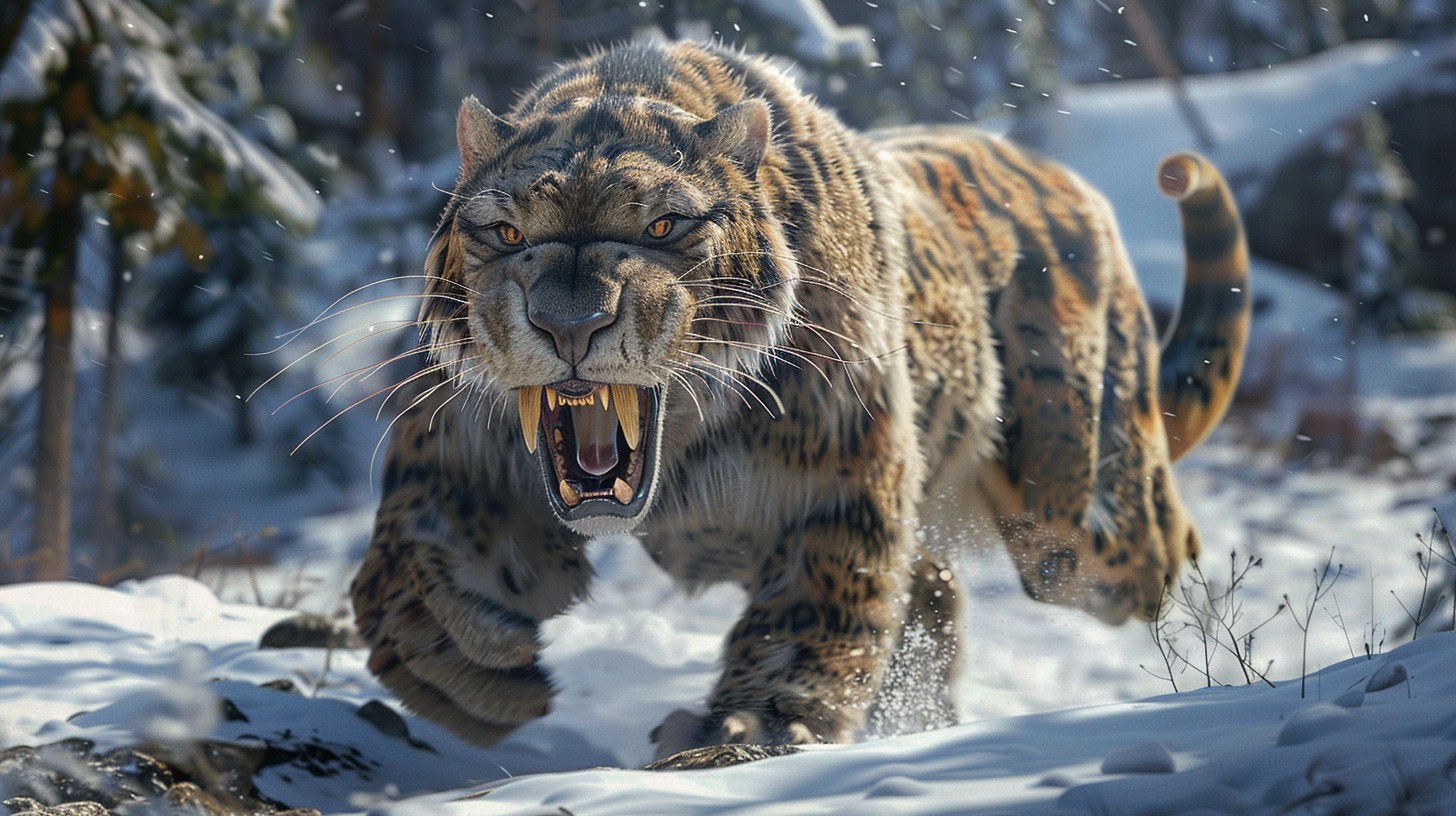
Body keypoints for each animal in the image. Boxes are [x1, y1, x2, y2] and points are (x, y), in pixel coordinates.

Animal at [349, 39, 1250, 761]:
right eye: (505, 233)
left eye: (663, 226)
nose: (569, 323)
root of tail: (1064, 179)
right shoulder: (459, 451)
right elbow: (408, 562)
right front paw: (463, 665)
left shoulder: (838, 485)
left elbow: (806, 621)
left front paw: (744, 732)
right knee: (934, 589)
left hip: (1070, 513)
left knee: (1149, 541)